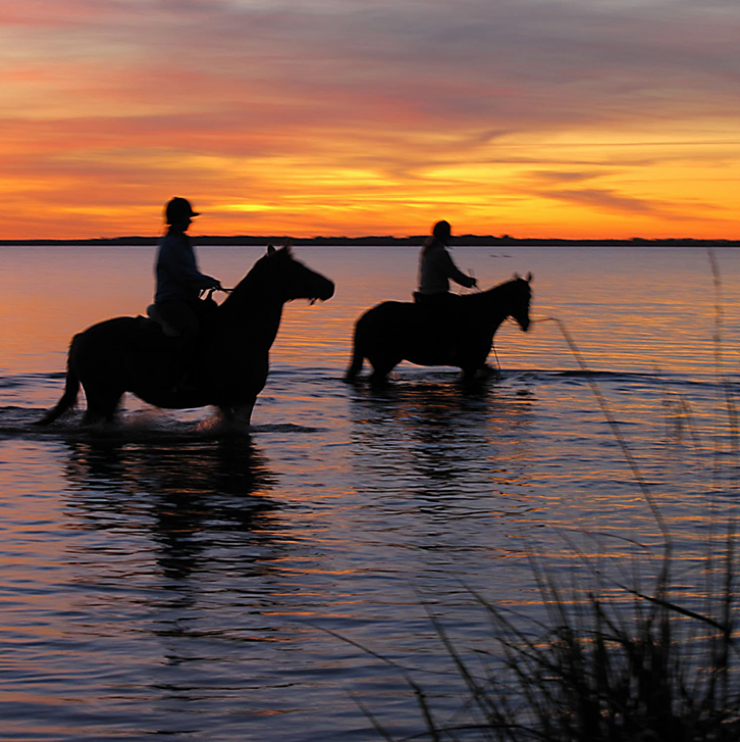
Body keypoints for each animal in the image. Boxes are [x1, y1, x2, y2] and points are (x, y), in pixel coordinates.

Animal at [37, 247, 332, 428]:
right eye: (294, 268)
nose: (329, 286)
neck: (241, 333)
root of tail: (80, 337)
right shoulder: (232, 399)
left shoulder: (243, 400)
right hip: (101, 395)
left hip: (110, 396)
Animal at [344, 276, 528, 386]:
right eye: (523, 297)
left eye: (529, 296)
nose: (526, 323)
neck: (481, 314)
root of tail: (363, 319)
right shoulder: (471, 363)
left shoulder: (472, 364)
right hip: (385, 361)